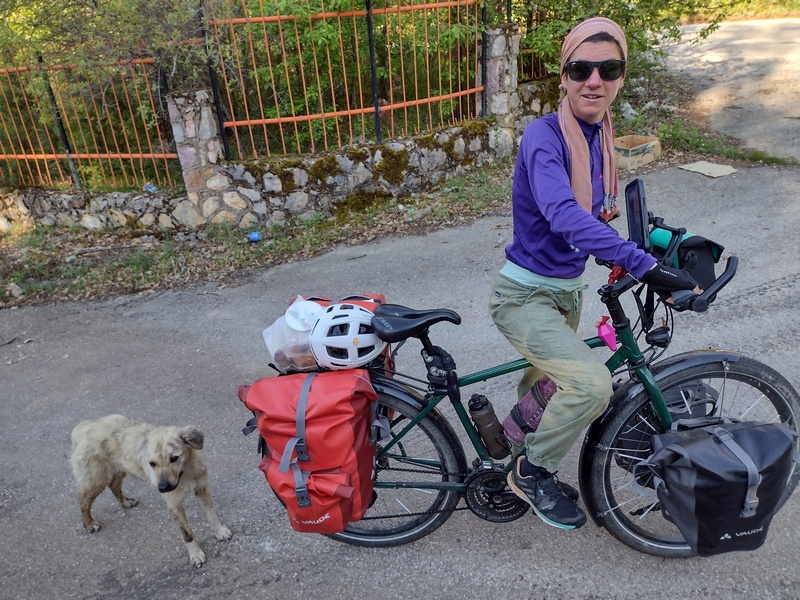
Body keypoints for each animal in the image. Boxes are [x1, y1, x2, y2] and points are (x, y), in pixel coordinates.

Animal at [70, 414, 233, 567]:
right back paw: (89, 523)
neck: (186, 471)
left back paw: (125, 502)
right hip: (96, 480)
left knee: (114, 485)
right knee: (83, 502)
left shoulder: (202, 488)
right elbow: (187, 533)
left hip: (120, 468)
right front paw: (195, 554)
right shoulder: (174, 504)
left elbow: (211, 514)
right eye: (152, 463)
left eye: (174, 458)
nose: (162, 488)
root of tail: (80, 429)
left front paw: (219, 531)